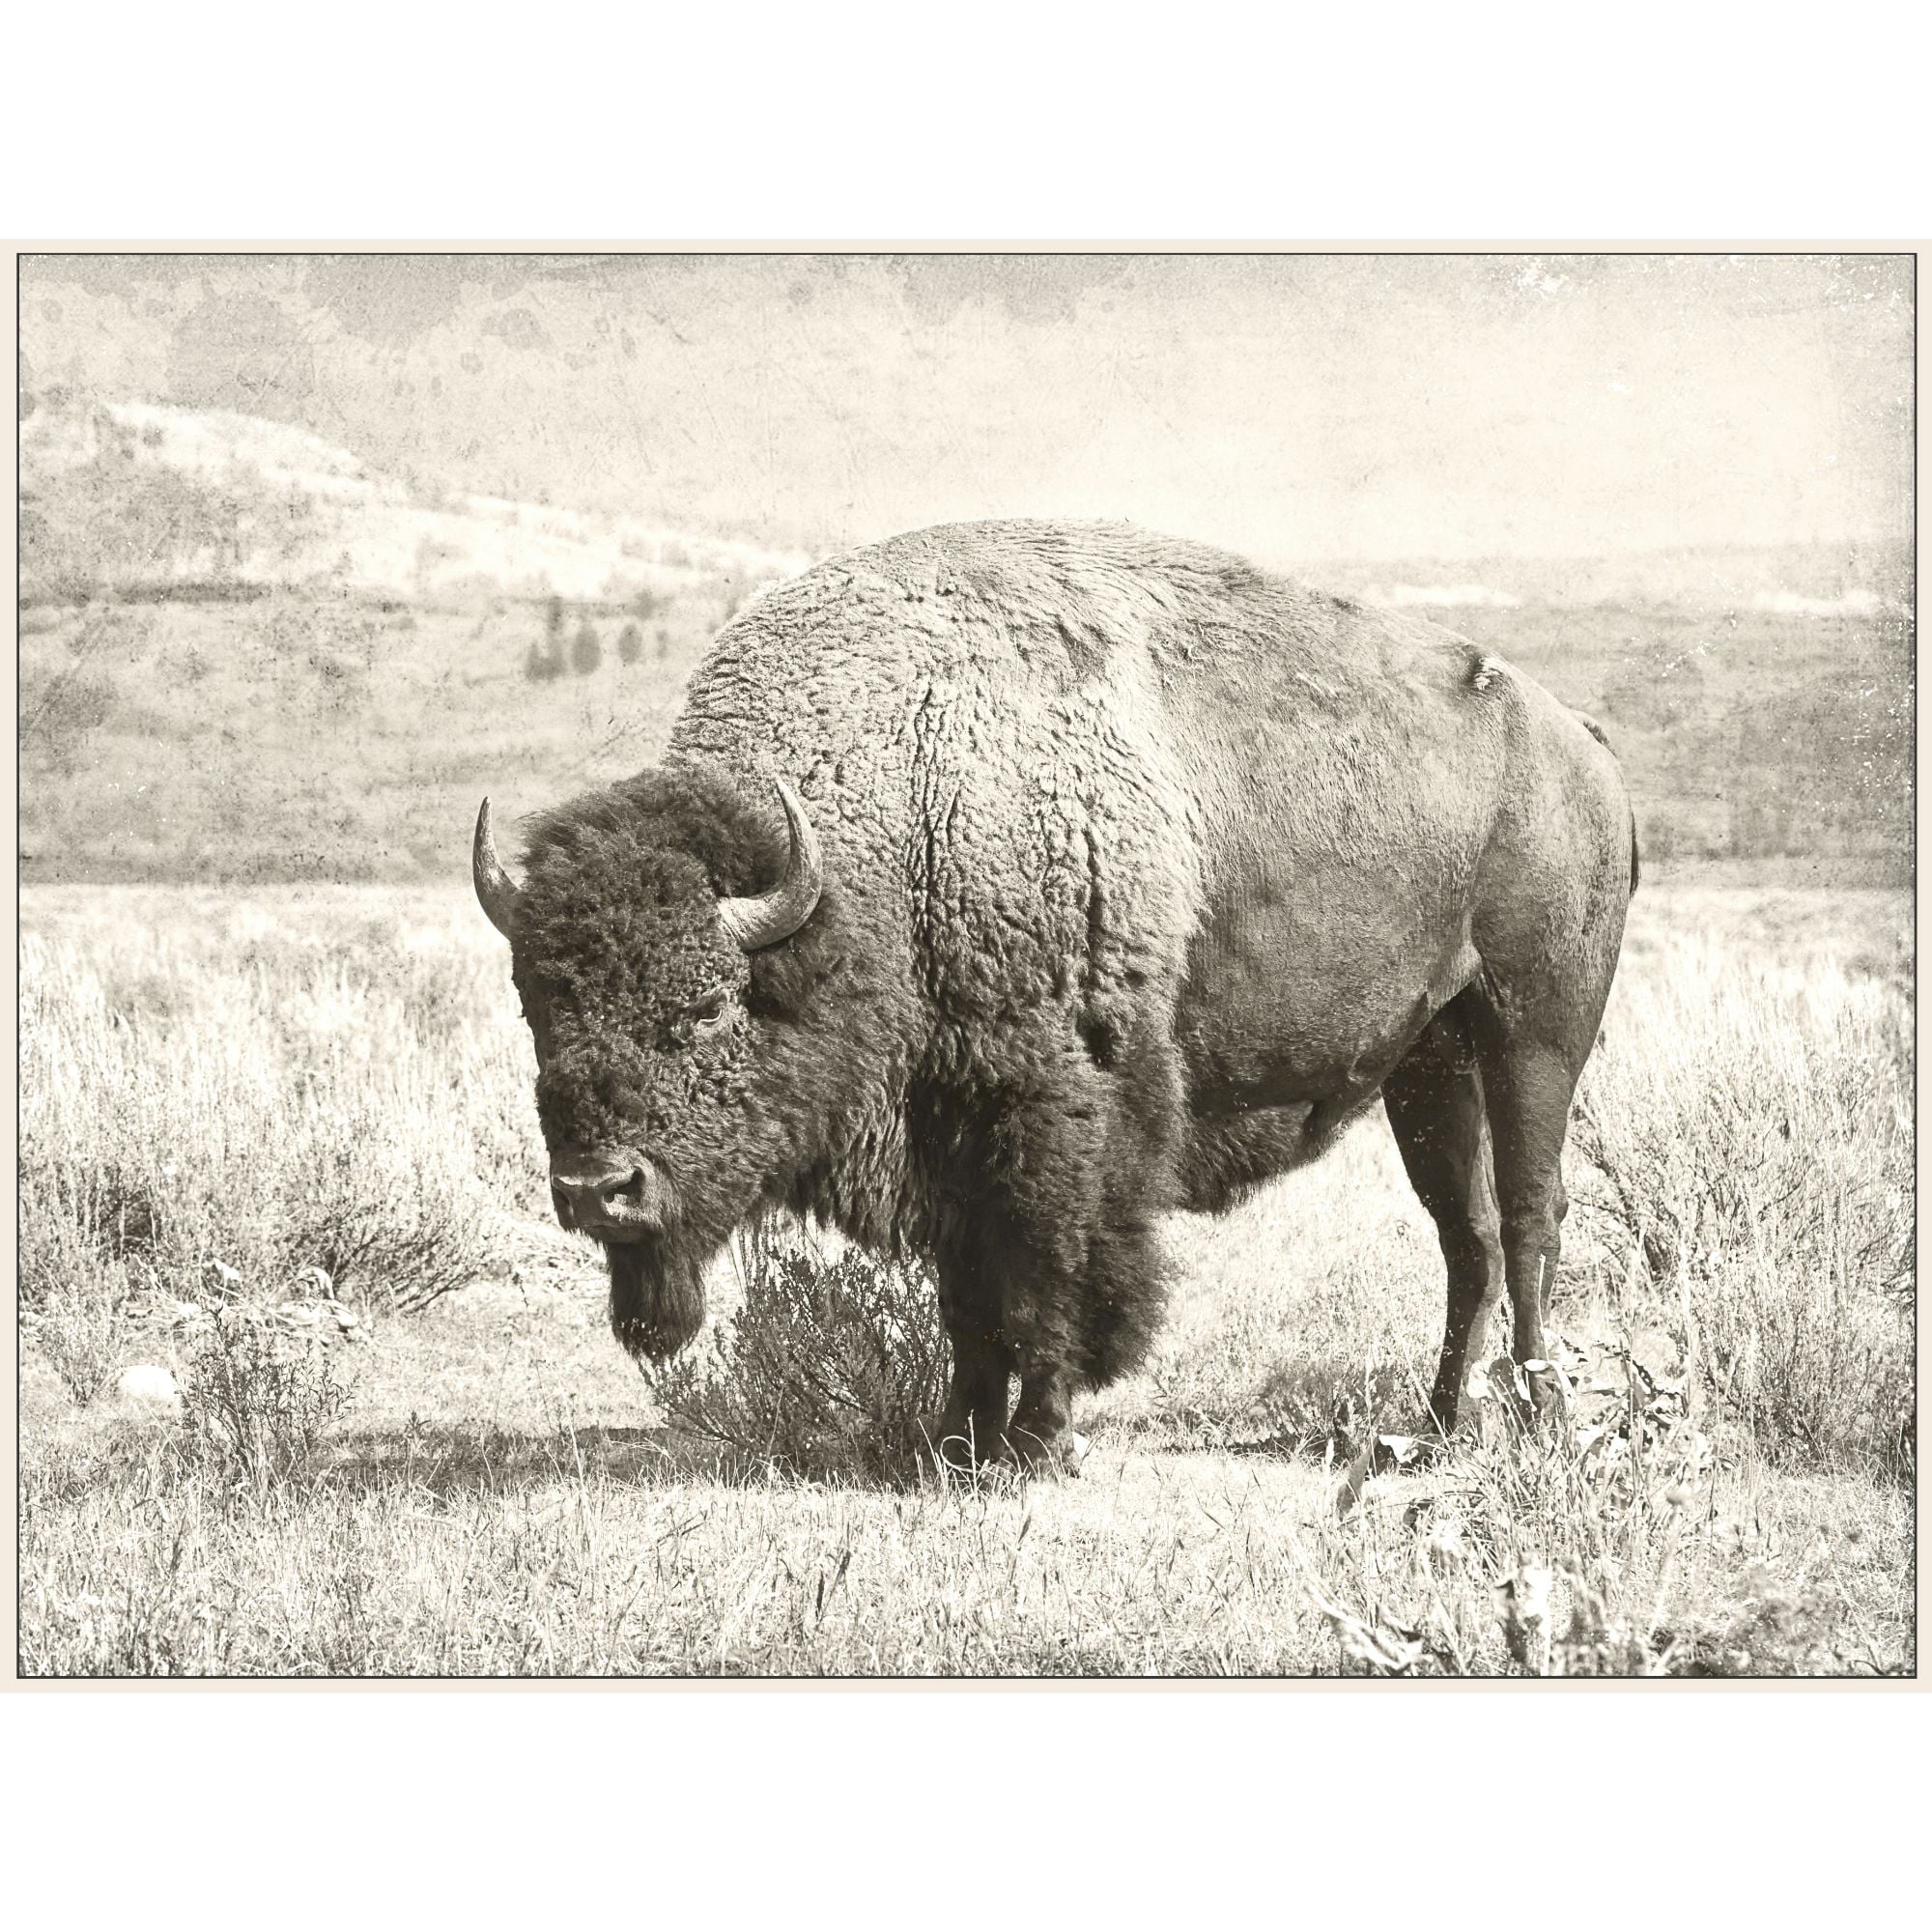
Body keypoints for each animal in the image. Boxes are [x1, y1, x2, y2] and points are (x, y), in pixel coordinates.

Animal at [473, 520, 1637, 1469]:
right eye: (537, 1007)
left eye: (710, 1005)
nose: (596, 1190)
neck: (900, 807)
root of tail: (1582, 747)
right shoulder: (944, 1130)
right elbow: (967, 1302)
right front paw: (955, 1441)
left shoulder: (1052, 1113)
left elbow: (1047, 1281)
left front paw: (1038, 1442)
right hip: (1427, 1061)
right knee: (1464, 1234)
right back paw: (1436, 1428)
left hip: (1534, 1031)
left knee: (1529, 1216)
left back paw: (1540, 1420)